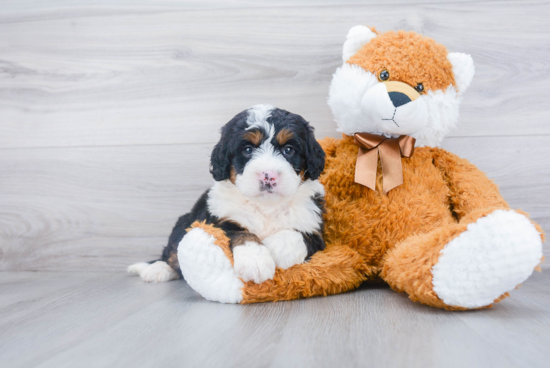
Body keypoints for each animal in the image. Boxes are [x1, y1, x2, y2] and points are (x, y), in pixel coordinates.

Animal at [128, 105, 328, 284]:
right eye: (247, 150)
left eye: (288, 150)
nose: (269, 175)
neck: (266, 206)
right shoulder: (219, 219)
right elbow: (241, 233)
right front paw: (255, 260)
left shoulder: (315, 229)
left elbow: (295, 235)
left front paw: (273, 246)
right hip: (184, 221)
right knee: (171, 250)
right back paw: (158, 269)